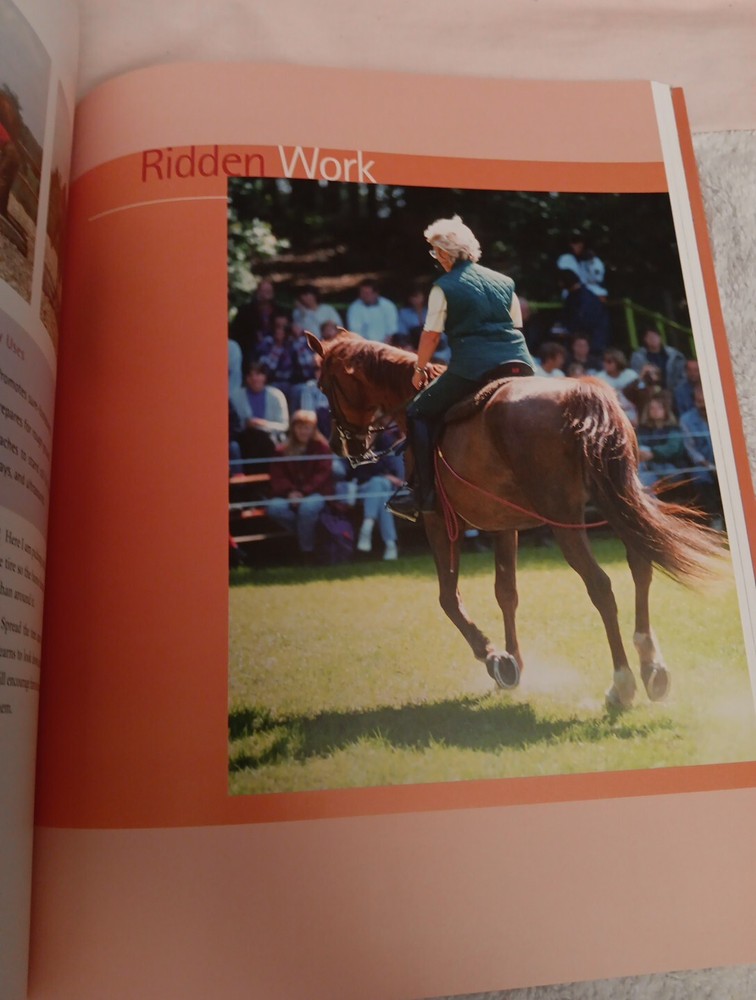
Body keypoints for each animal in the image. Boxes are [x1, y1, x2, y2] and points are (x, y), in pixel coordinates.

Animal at [305, 329, 723, 709]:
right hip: (614, 501)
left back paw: (621, 684)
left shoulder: (437, 520)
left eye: (324, 386)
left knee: (601, 586)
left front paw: (495, 659)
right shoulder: (503, 525)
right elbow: (506, 592)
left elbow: (449, 597)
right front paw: (514, 662)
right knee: (640, 564)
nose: (340, 444)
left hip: (566, 519)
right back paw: (653, 668)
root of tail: (581, 394)